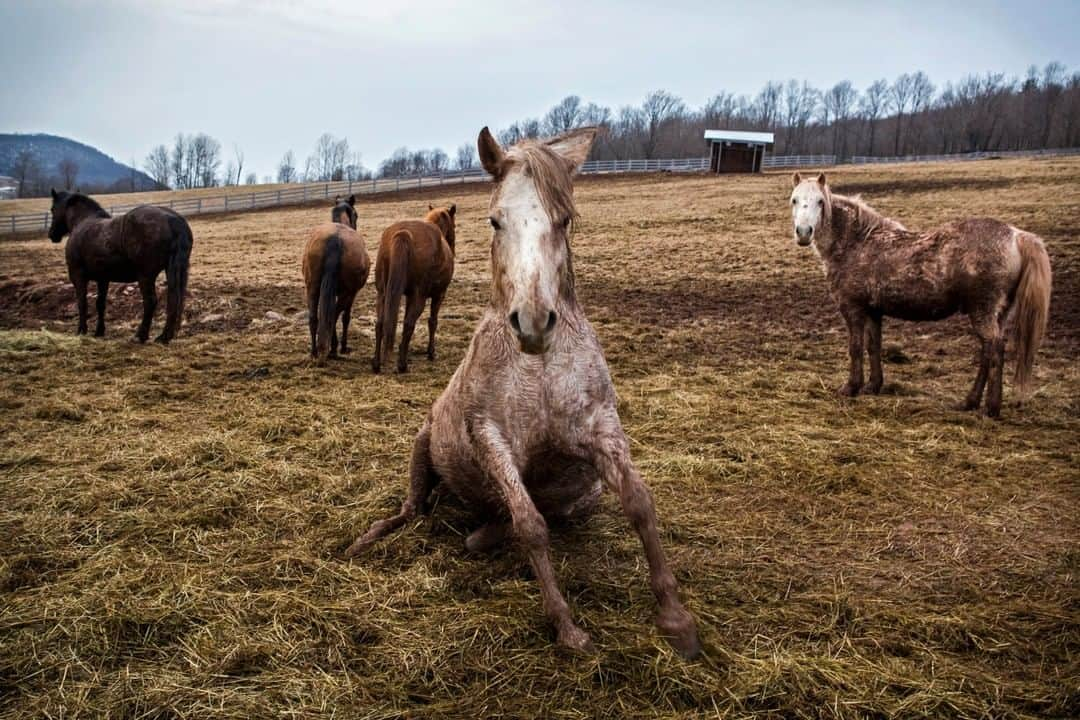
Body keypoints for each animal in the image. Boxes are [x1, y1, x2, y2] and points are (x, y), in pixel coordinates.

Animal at [48, 189, 192, 345]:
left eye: (52, 209)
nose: (51, 235)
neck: (82, 222)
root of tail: (173, 220)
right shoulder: (103, 279)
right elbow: (100, 304)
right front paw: (99, 331)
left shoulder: (78, 276)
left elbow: (82, 302)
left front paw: (81, 331)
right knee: (174, 300)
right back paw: (165, 336)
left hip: (145, 276)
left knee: (150, 302)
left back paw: (141, 335)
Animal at [304, 194, 371, 362]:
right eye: (356, 215)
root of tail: (335, 239)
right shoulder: (353, 293)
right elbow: (346, 317)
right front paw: (343, 347)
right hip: (347, 292)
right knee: (334, 315)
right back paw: (332, 349)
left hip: (312, 288)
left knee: (314, 318)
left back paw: (315, 351)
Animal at [371, 201, 455, 371]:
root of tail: (404, 233)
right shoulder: (439, 295)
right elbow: (432, 321)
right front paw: (431, 353)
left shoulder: (409, 296)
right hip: (419, 298)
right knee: (409, 324)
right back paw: (402, 365)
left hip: (382, 294)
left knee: (380, 323)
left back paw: (376, 363)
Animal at [790, 171, 1049, 416]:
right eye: (794, 200)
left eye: (820, 201)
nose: (803, 232)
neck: (856, 243)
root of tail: (1016, 235)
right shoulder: (873, 311)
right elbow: (873, 346)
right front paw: (873, 386)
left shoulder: (853, 308)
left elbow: (855, 347)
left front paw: (851, 387)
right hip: (999, 314)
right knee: (987, 352)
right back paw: (969, 402)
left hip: (982, 311)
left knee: (994, 350)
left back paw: (990, 409)